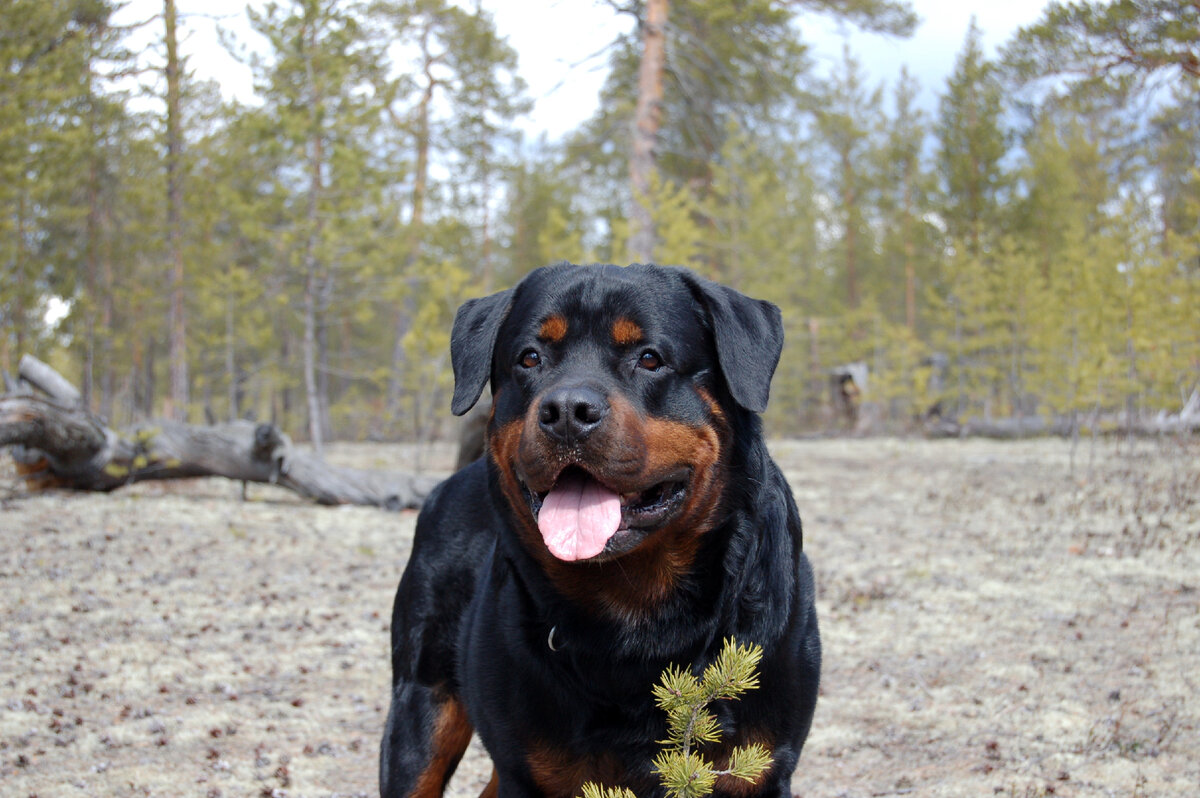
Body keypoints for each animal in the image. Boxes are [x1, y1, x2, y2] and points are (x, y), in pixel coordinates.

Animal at [379, 264, 820, 796]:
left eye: (649, 359)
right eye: (530, 358)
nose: (568, 410)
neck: (637, 613)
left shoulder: (759, 768)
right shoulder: (528, 769)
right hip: (421, 706)